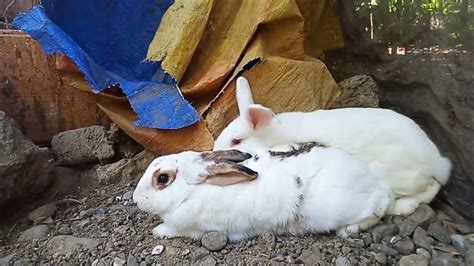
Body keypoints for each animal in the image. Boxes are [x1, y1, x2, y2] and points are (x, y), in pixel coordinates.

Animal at [131, 148, 390, 241]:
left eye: (162, 179)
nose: (135, 199)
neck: (190, 191)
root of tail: (376, 183)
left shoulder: (194, 228)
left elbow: (173, 230)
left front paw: (158, 231)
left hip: (342, 208)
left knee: (378, 209)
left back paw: (348, 230)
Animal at [214, 77, 452, 216]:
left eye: (236, 141)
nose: (215, 151)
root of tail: (437, 162)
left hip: (398, 175)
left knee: (430, 188)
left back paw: (401, 207)